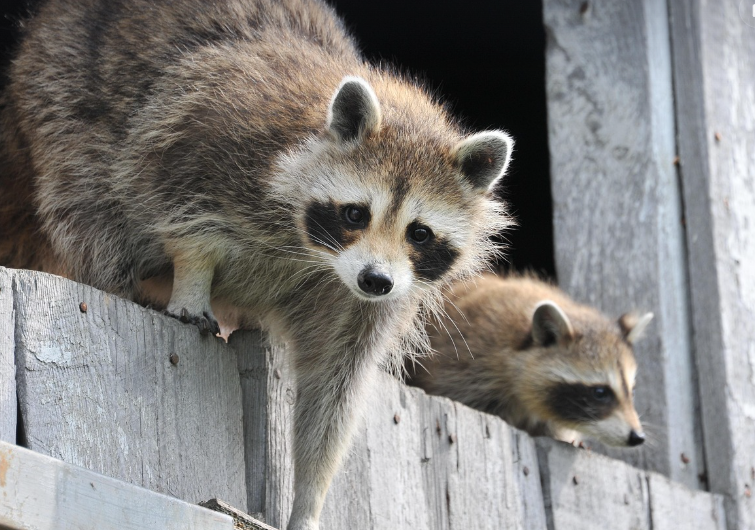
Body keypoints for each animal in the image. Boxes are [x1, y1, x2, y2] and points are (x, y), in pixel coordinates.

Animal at [0, 1, 513, 528]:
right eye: (356, 214)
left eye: (419, 233)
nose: (376, 280)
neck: (317, 254)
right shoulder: (214, 135)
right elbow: (181, 208)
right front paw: (192, 279)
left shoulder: (365, 302)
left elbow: (334, 391)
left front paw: (309, 497)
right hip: (60, 89)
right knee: (87, 200)